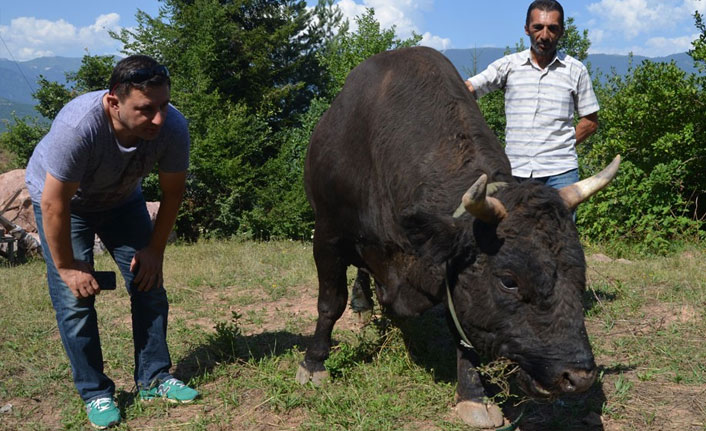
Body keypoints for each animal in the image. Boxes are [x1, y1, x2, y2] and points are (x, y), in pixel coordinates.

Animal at [296, 46, 616, 428]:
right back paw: (363, 306)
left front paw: (473, 395)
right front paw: (314, 362)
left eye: (579, 273)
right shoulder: (327, 235)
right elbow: (330, 302)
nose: (578, 376)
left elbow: (462, 327)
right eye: (509, 280)